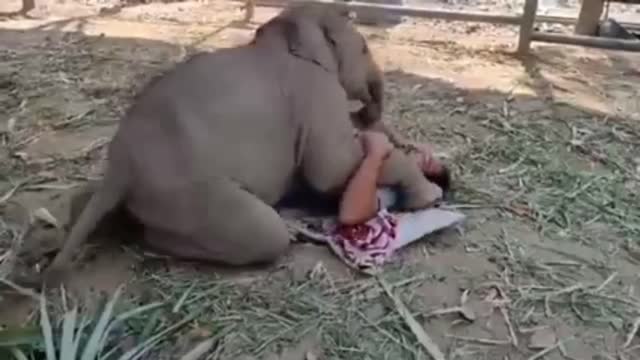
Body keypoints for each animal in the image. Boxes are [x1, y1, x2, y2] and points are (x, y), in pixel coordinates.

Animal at [43, 2, 440, 284]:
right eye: (364, 48)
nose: (369, 114)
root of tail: (121, 167)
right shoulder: (315, 92)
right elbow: (332, 169)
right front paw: (429, 197)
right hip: (191, 194)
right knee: (263, 233)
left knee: (86, 201)